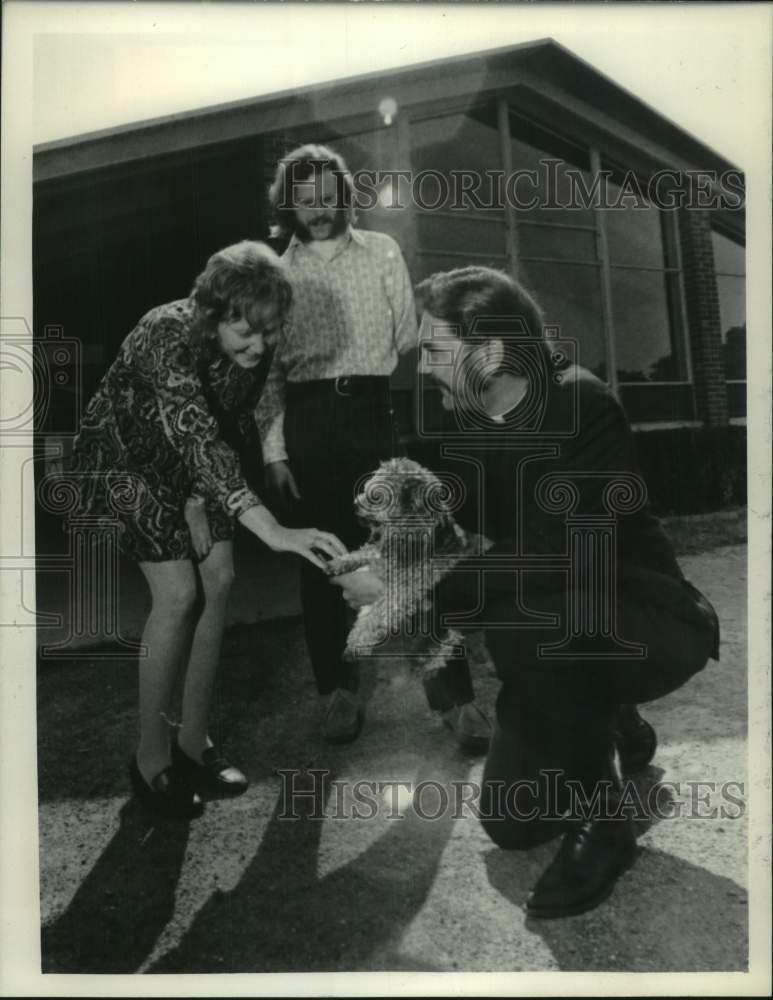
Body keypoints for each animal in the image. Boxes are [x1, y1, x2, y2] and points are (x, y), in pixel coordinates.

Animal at [322, 460, 492, 680]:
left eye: (376, 495)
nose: (354, 504)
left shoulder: (402, 592)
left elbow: (375, 614)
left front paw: (356, 642)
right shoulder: (383, 554)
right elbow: (367, 552)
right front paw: (339, 562)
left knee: (446, 645)